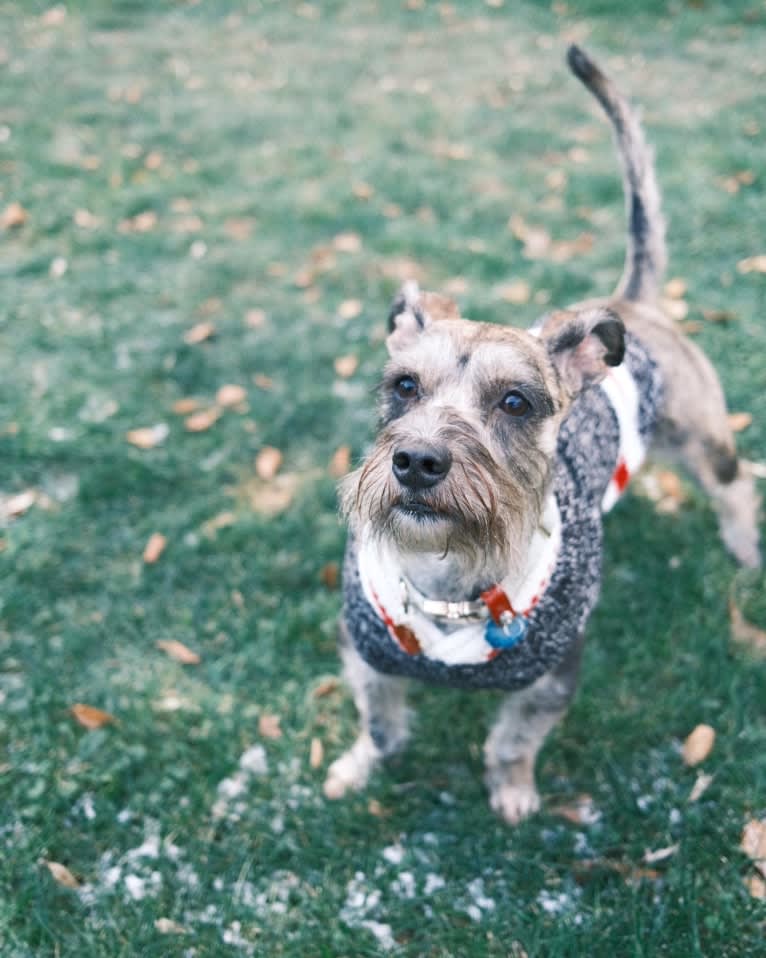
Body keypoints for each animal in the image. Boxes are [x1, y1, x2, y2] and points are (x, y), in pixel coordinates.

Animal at [322, 45, 760, 824]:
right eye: (403, 386)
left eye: (516, 401)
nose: (417, 461)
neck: (451, 582)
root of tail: (630, 302)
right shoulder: (366, 656)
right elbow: (379, 725)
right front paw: (355, 769)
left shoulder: (552, 678)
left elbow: (512, 742)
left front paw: (514, 793)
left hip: (703, 438)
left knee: (737, 487)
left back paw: (744, 549)